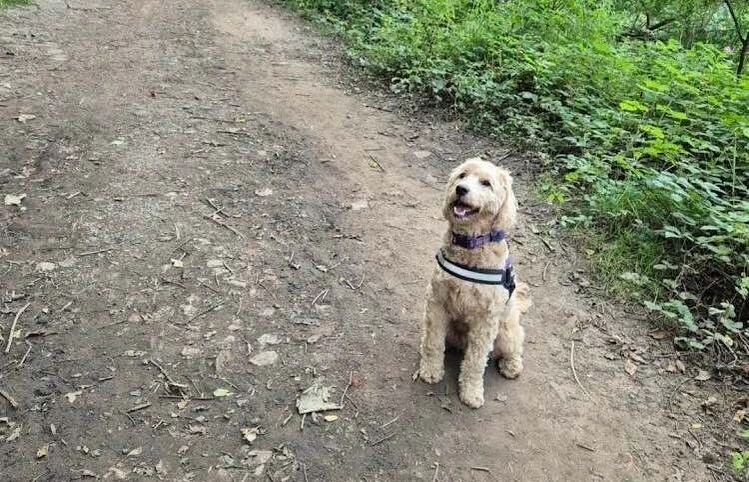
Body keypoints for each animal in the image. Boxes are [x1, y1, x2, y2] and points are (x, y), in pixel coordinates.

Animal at [414, 158, 532, 406]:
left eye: (486, 183)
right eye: (462, 176)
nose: (461, 189)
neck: (470, 244)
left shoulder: (485, 321)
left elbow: (476, 361)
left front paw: (471, 392)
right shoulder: (437, 303)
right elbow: (433, 342)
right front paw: (430, 370)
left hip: (506, 332)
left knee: (514, 347)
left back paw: (512, 365)